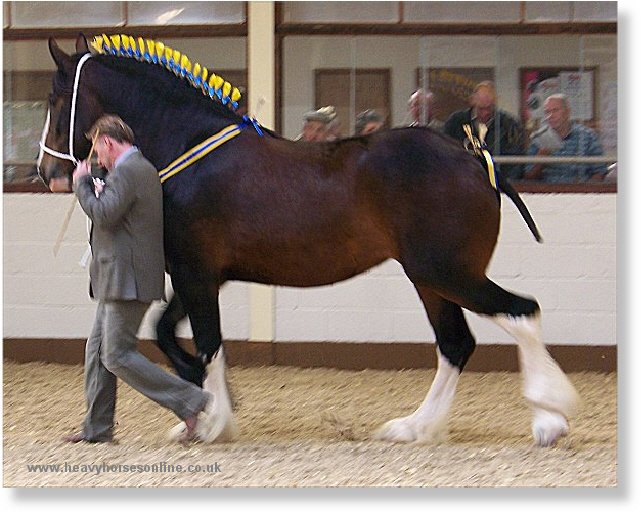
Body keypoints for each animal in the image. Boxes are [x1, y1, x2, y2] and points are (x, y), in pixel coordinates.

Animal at [37, 35, 576, 444]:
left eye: (55, 99)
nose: (47, 172)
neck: (188, 149)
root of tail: (476, 159)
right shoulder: (205, 275)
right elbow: (168, 333)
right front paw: (207, 406)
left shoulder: (195, 272)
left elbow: (205, 341)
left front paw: (214, 419)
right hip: (431, 280)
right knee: (456, 344)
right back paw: (415, 427)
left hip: (446, 272)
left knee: (520, 312)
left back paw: (550, 416)